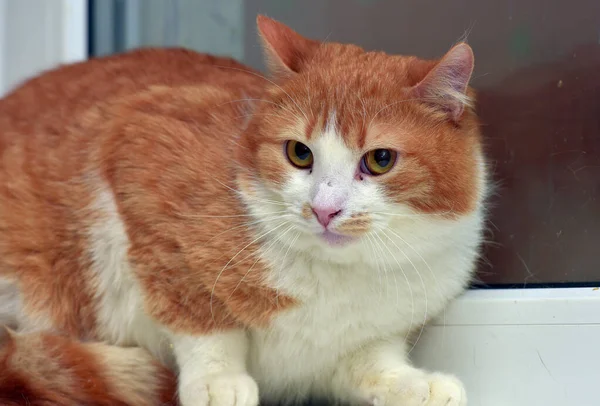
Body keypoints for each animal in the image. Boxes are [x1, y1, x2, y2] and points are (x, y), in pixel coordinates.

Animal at [0, 15, 488, 406]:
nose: (324, 210)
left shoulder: (362, 341)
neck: (335, 278)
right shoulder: (139, 150)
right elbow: (202, 322)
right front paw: (218, 382)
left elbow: (373, 364)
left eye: (380, 159)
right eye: (299, 153)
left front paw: (416, 384)